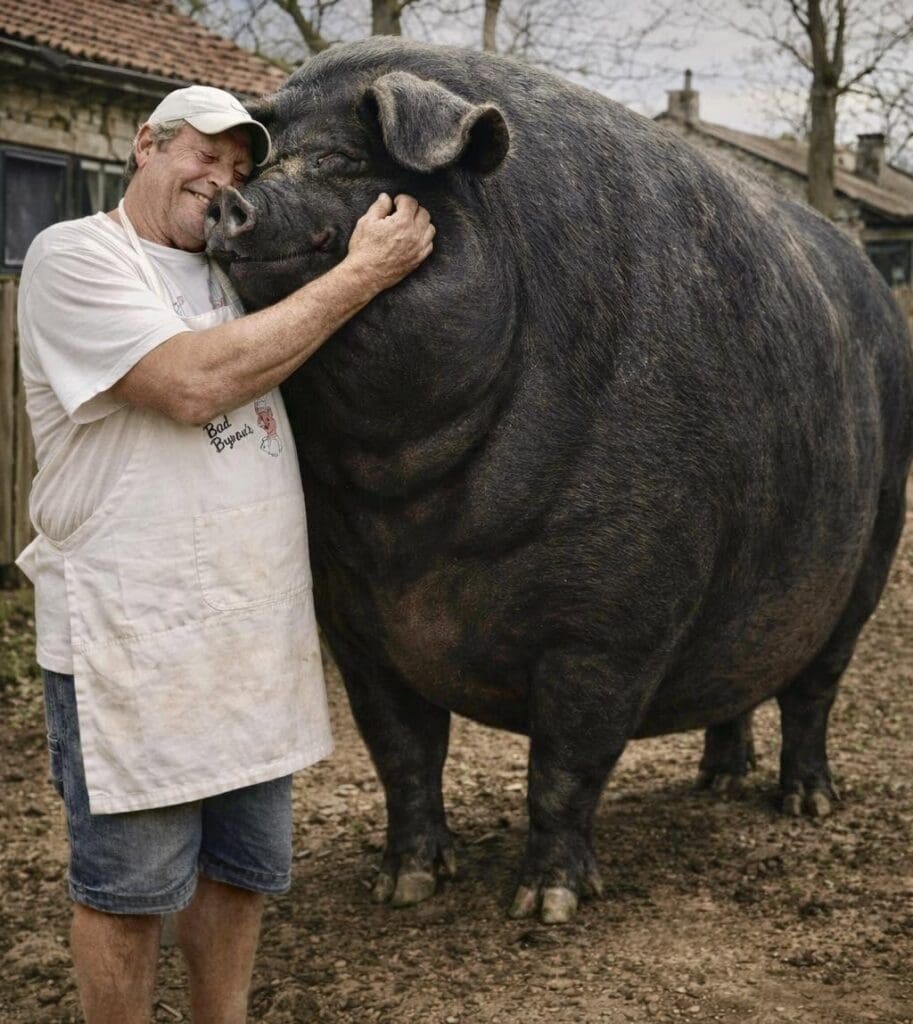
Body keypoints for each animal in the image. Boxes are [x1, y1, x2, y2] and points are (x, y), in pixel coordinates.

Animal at [205, 38, 913, 924]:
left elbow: (566, 761)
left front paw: (544, 906)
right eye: (268, 156)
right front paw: (404, 886)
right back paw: (717, 784)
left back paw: (803, 803)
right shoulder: (351, 621)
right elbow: (401, 751)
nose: (227, 200)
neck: (410, 518)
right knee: (739, 679)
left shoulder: (613, 619)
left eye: (342, 159)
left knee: (814, 689)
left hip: (873, 545)